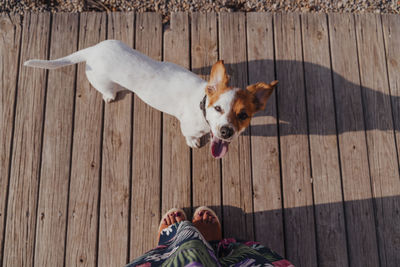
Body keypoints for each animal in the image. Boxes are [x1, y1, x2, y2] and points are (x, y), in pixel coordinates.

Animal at [23, 39, 276, 159]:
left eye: (243, 115)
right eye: (218, 108)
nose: (226, 132)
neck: (200, 105)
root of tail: (92, 50)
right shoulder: (188, 128)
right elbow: (190, 137)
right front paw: (194, 143)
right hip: (103, 83)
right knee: (108, 91)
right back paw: (110, 95)